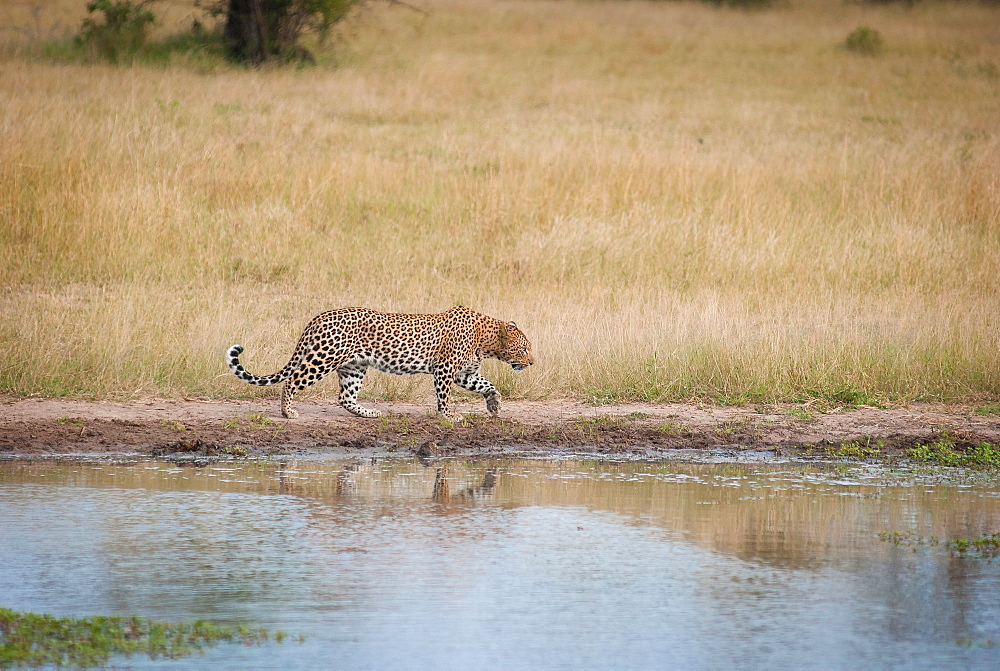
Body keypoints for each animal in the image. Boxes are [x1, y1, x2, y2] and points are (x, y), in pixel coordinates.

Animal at [227, 306, 536, 420]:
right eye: (523, 348)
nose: (532, 362)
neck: (487, 341)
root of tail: (319, 316)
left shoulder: (464, 374)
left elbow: (488, 385)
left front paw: (494, 405)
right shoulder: (445, 370)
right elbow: (444, 396)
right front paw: (449, 416)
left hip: (354, 367)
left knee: (345, 397)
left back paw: (369, 413)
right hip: (324, 359)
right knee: (292, 381)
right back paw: (288, 412)